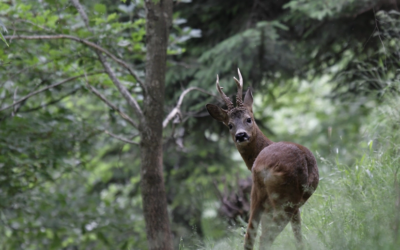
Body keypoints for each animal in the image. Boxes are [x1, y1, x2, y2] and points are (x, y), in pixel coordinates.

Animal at [206, 69, 318, 250]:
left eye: (248, 119)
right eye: (230, 125)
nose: (241, 135)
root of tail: (264, 167)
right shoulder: (295, 205)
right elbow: (298, 232)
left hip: (263, 195)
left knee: (253, 236)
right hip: (284, 198)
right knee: (263, 236)